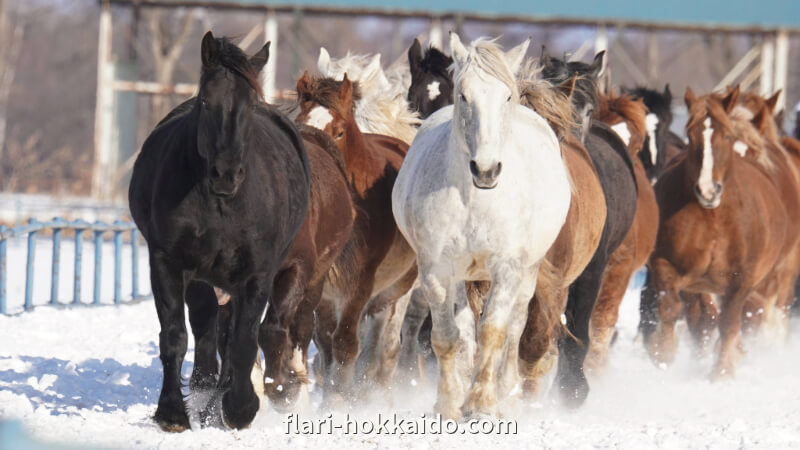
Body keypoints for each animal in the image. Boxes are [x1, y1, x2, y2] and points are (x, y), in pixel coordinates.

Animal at [128, 32, 310, 432]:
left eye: (251, 104)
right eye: (205, 101)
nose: (226, 173)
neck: (220, 207)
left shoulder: (257, 274)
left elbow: (243, 342)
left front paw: (240, 408)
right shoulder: (168, 262)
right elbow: (175, 336)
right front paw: (172, 412)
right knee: (206, 328)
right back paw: (204, 391)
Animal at [296, 72, 418, 402]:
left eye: (339, 132)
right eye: (299, 125)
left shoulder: (360, 283)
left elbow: (346, 344)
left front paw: (341, 401)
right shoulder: (325, 286)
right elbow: (326, 343)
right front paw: (331, 396)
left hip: (397, 290)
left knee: (384, 348)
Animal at [392, 34, 568, 418]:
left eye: (506, 97)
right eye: (463, 95)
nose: (486, 170)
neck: (476, 200)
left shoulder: (508, 266)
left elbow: (494, 331)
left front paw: (484, 403)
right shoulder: (436, 269)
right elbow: (447, 336)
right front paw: (449, 402)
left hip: (529, 271)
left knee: (515, 327)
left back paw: (508, 394)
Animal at [644, 87, 788, 380]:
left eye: (727, 135)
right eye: (690, 135)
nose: (708, 190)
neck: (713, 218)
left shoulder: (742, 279)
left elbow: (730, 323)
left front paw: (721, 373)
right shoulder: (666, 265)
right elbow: (671, 309)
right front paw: (662, 355)